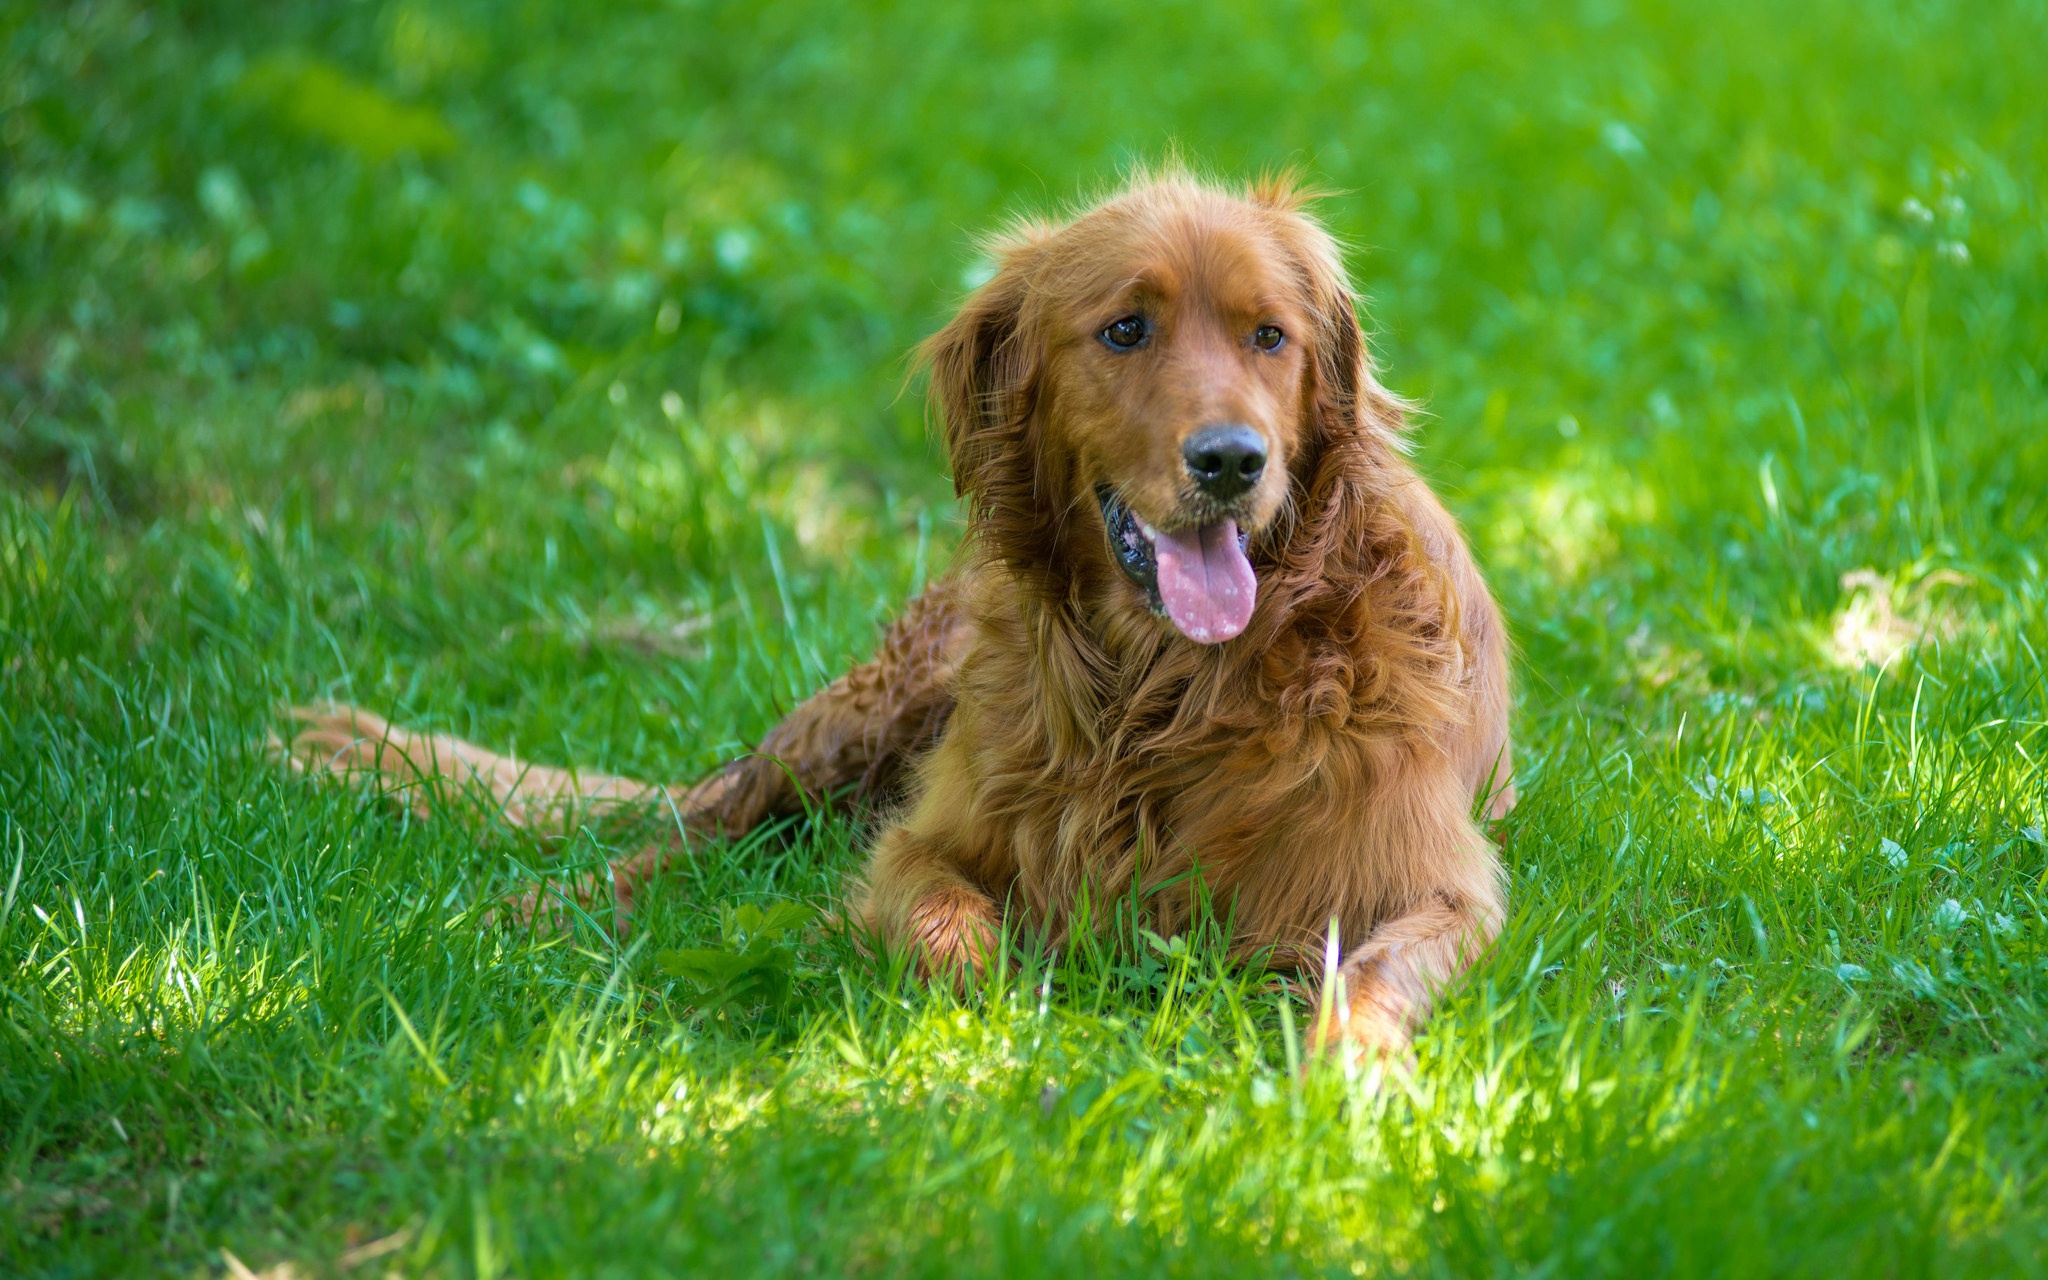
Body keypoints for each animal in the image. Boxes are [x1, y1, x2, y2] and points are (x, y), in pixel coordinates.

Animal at [280, 169, 1515, 1056]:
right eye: (1125, 330)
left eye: (1270, 337)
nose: (1230, 461)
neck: (1160, 689)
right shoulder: (922, 839)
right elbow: (939, 918)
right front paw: (996, 1014)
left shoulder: (1433, 884)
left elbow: (1372, 976)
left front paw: (1353, 1082)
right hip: (861, 714)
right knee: (689, 822)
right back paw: (517, 915)